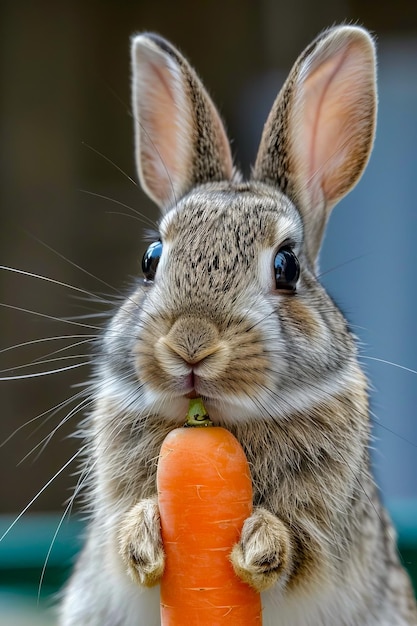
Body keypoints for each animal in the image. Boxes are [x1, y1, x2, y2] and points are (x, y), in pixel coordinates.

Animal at [59, 24, 416, 624]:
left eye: (287, 266)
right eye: (150, 260)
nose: (191, 343)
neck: (220, 422)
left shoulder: (328, 526)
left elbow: (301, 550)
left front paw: (261, 544)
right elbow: (121, 543)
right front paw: (143, 538)